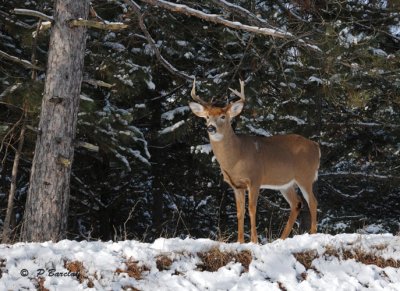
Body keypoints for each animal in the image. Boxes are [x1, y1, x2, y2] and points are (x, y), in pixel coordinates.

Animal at [189, 79, 320, 244]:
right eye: (206, 117)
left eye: (223, 116)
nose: (211, 127)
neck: (235, 158)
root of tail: (316, 146)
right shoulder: (236, 185)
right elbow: (240, 212)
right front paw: (240, 241)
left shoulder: (255, 178)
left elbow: (252, 209)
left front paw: (254, 240)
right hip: (285, 184)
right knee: (296, 203)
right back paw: (281, 239)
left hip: (305, 176)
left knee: (313, 202)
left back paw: (313, 234)